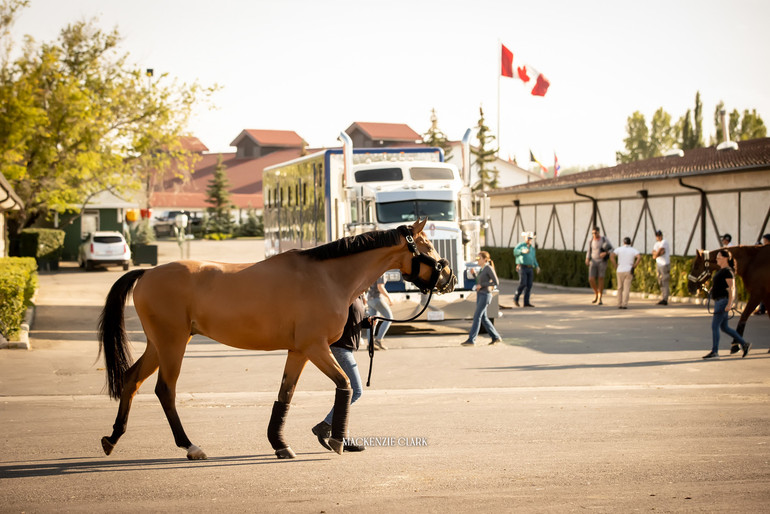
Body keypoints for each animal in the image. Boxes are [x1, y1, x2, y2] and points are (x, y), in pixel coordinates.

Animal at [98, 218, 452, 458]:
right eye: (427, 246)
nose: (448, 278)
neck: (327, 276)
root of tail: (146, 272)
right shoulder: (316, 347)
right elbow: (345, 385)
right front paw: (336, 440)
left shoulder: (298, 351)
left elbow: (285, 395)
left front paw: (280, 444)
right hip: (172, 344)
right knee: (165, 390)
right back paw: (190, 446)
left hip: (159, 345)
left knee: (131, 380)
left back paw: (112, 438)